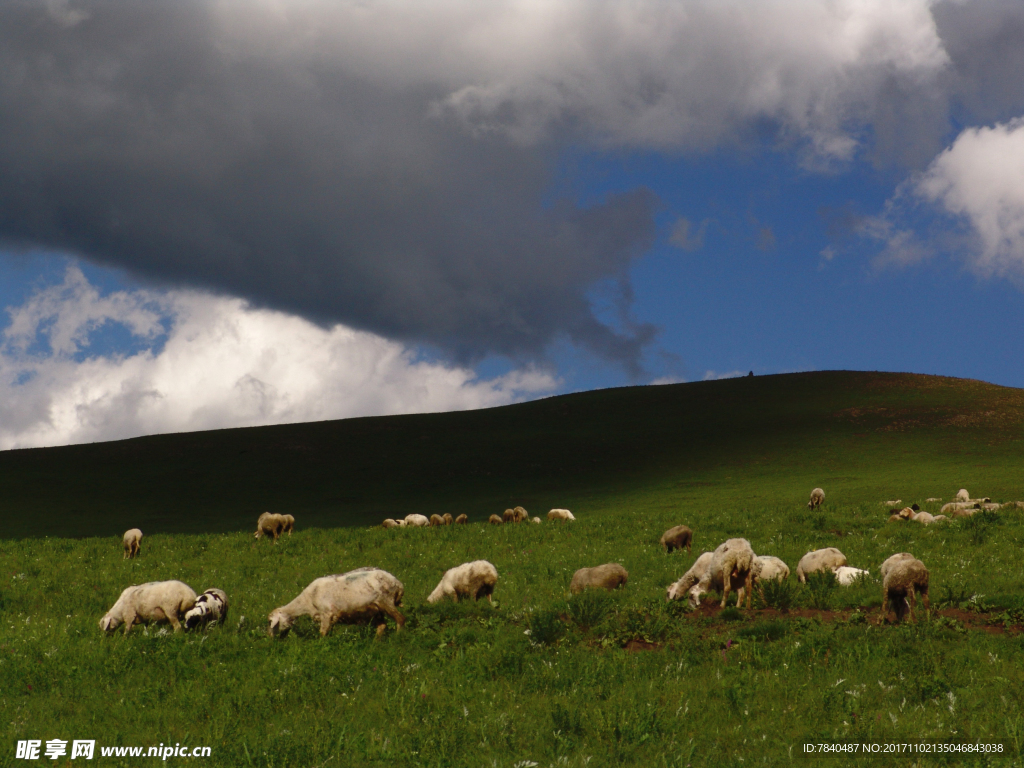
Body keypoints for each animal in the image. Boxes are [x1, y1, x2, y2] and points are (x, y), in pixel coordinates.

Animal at [270, 569, 405, 638]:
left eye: (270, 622)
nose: (270, 637)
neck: (307, 602)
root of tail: (398, 583)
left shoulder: (326, 613)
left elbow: (322, 633)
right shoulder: (332, 617)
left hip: (386, 601)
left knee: (400, 619)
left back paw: (398, 637)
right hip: (377, 609)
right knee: (382, 626)